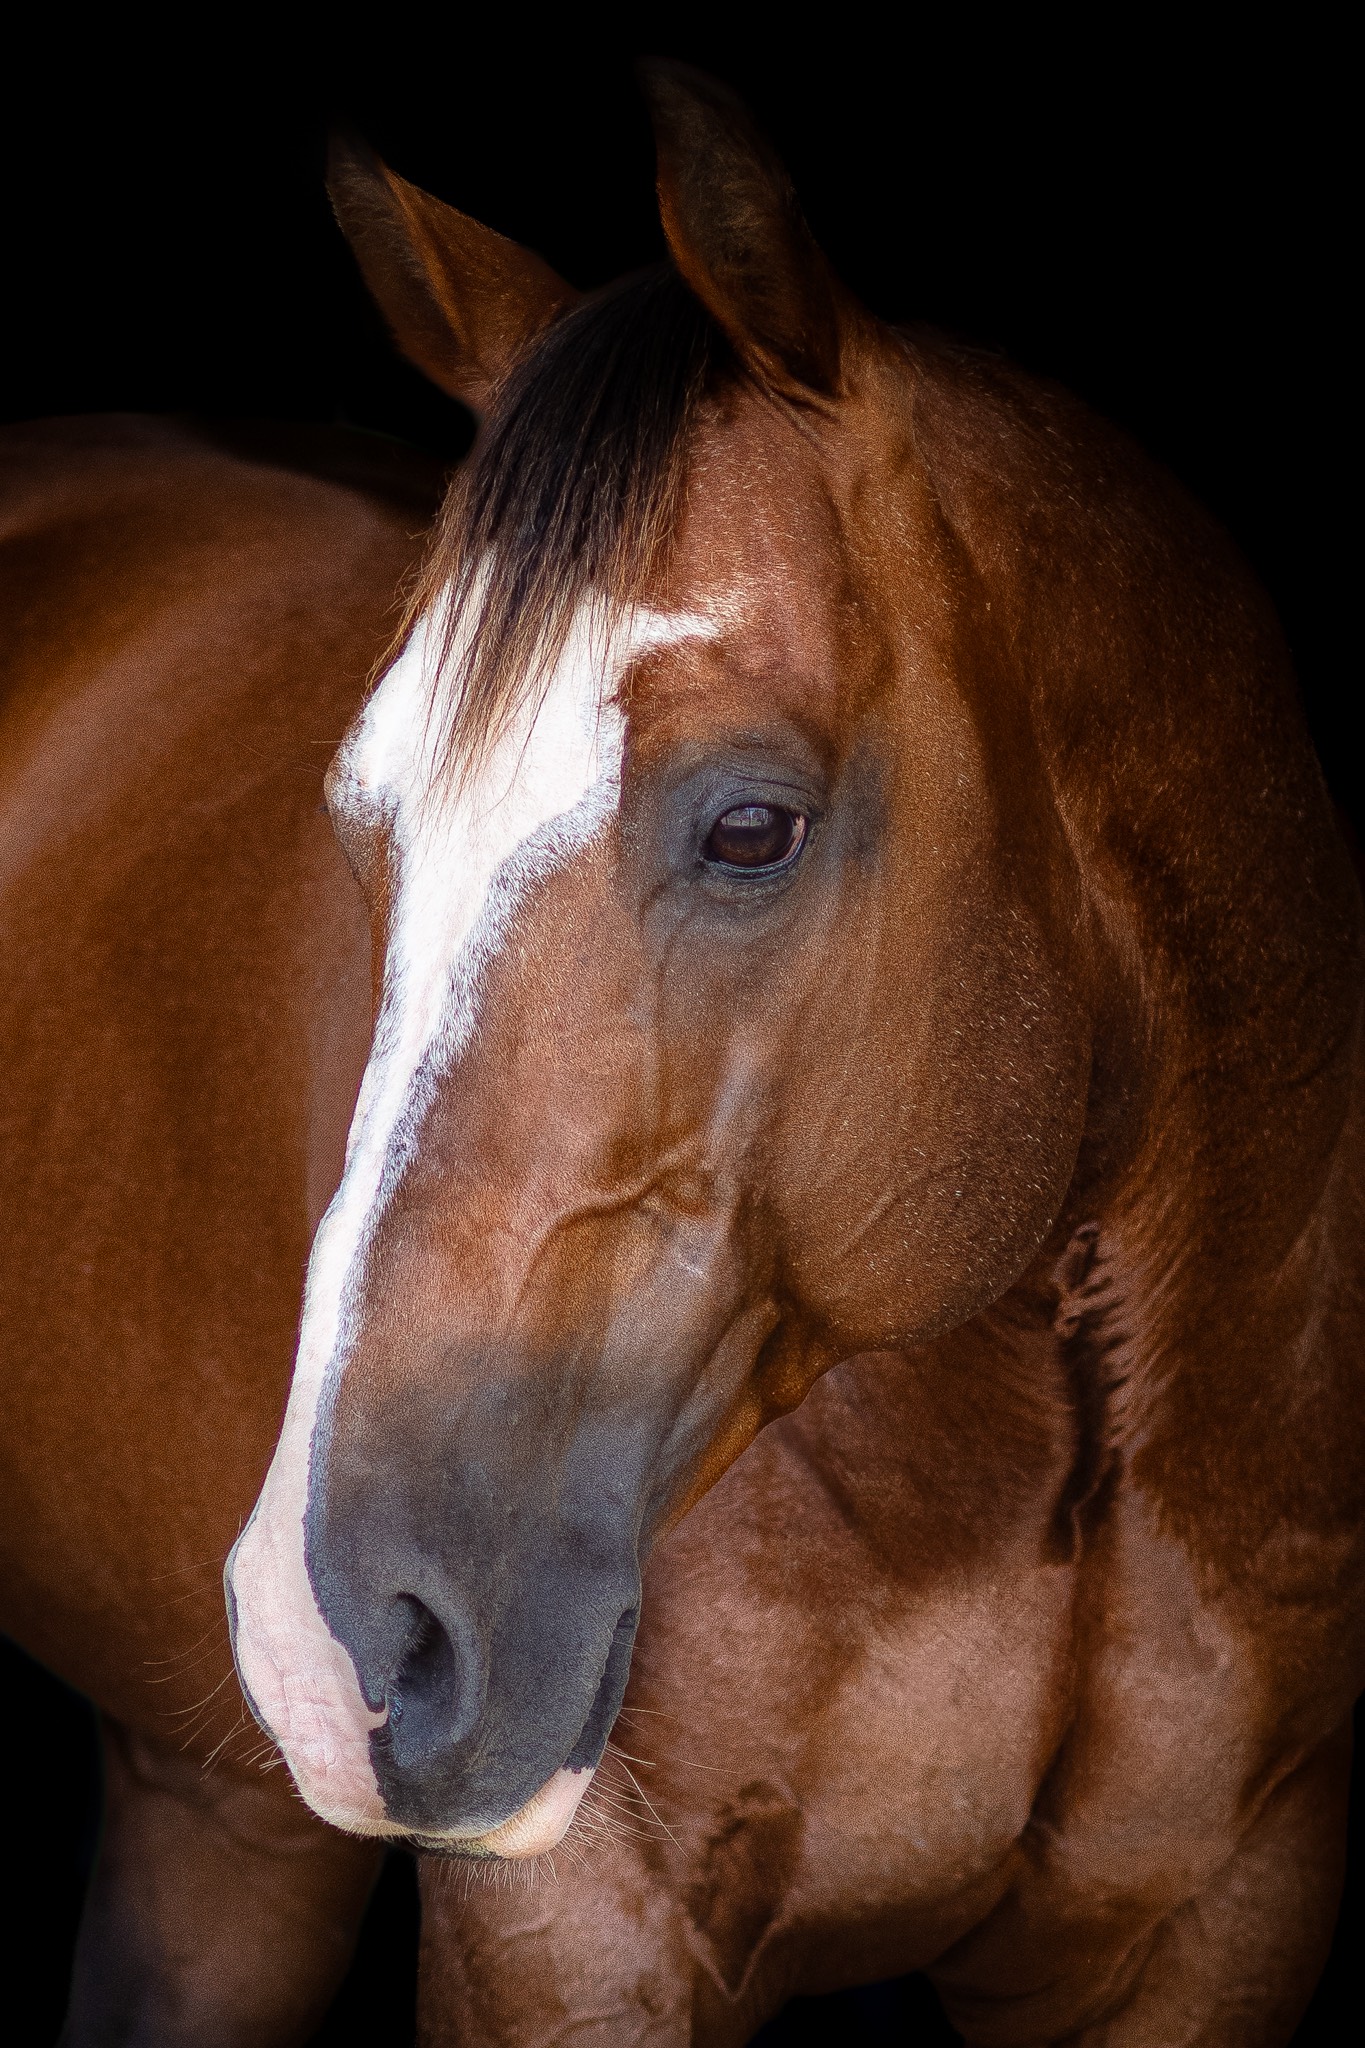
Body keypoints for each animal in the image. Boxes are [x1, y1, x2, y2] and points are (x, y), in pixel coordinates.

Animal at [2, 61, 1362, 2047]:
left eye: (749, 828)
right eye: (364, 818)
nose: (336, 1640)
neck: (1042, 1484)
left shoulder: (1221, 1912)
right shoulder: (578, 1932)